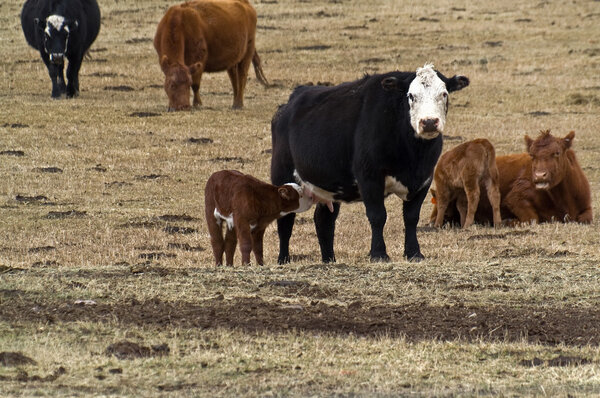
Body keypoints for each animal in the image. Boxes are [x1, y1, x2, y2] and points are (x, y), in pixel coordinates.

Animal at [270, 63, 468, 262]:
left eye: (444, 93)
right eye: (411, 95)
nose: (429, 122)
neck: (412, 156)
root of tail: (288, 104)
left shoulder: (423, 180)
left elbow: (411, 217)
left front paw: (414, 253)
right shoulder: (369, 177)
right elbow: (377, 216)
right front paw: (379, 254)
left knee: (324, 220)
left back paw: (329, 260)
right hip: (283, 174)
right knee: (285, 221)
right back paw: (283, 259)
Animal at [428, 130, 592, 225]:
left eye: (557, 152)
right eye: (532, 155)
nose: (540, 176)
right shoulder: (515, 199)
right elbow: (532, 219)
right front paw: (509, 221)